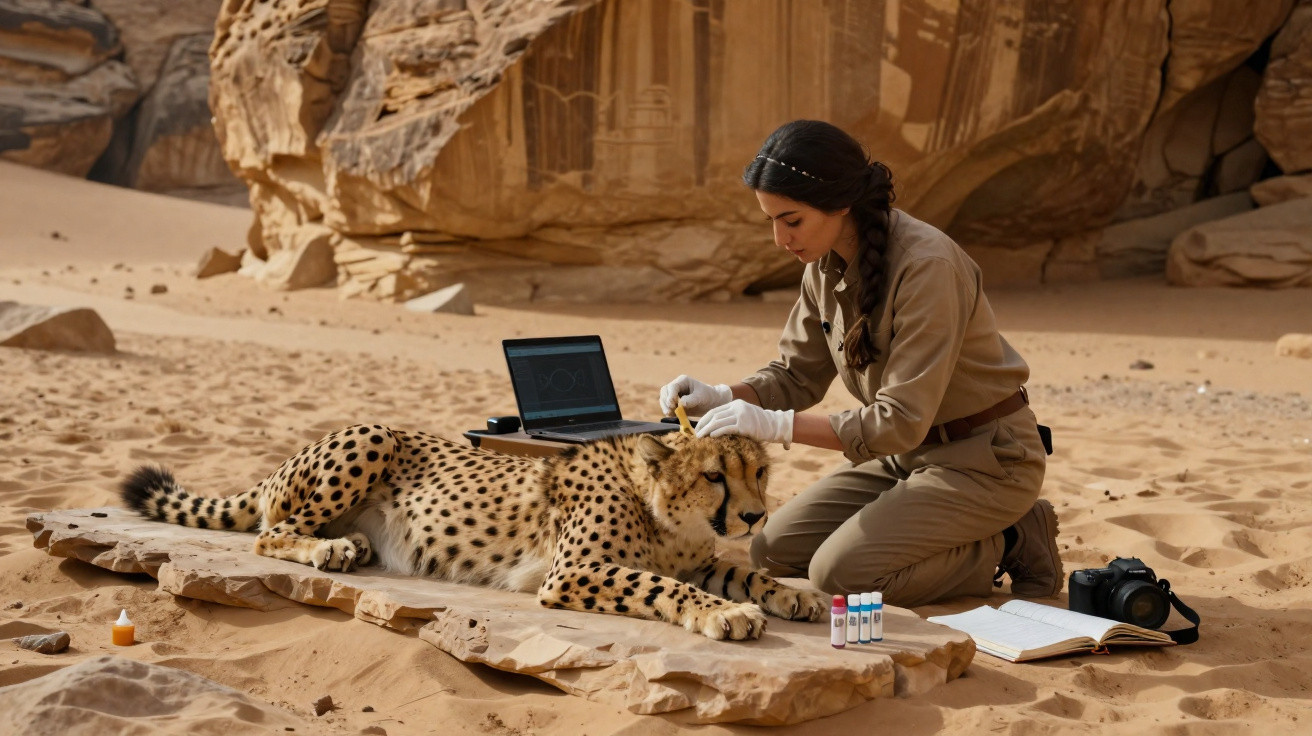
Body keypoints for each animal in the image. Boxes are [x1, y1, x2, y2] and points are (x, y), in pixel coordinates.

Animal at [119, 424, 828, 640]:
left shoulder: (700, 556)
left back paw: (353, 544)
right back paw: (333, 547)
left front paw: (798, 596)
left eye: (760, 472)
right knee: (270, 533)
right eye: (714, 475)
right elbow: (663, 586)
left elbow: (743, 570)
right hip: (371, 437)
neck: (663, 512)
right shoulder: (570, 573)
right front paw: (724, 615)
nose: (753, 516)